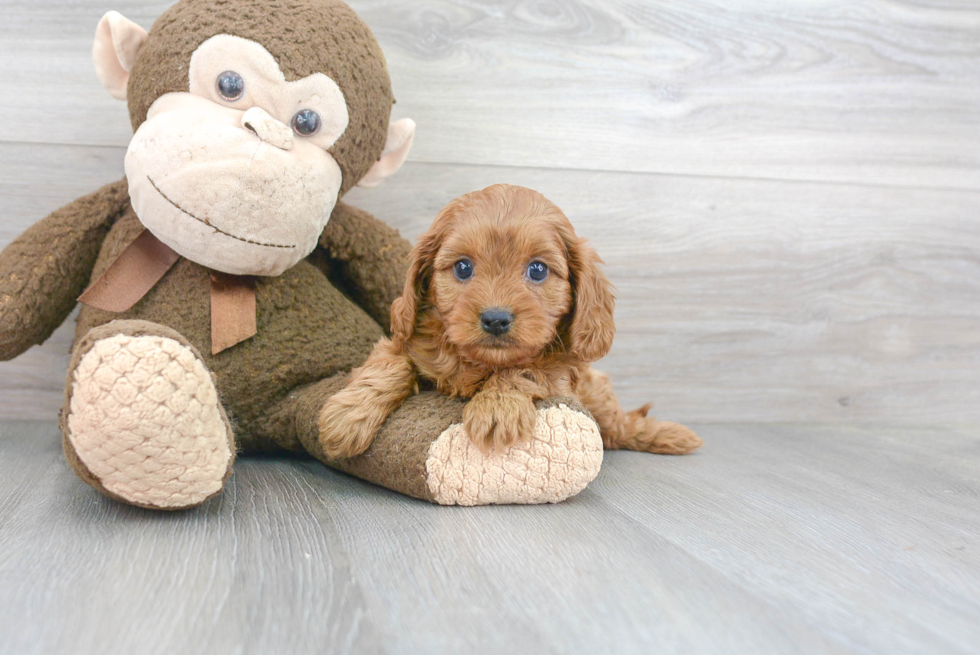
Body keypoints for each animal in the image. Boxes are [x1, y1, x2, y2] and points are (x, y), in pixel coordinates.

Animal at [318, 184, 700, 458]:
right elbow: (390, 365)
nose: (496, 319)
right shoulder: (400, 338)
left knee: (620, 426)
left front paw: (496, 408)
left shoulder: (562, 372)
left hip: (598, 396)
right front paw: (348, 416)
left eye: (537, 270)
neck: (480, 363)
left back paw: (669, 435)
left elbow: (526, 368)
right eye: (463, 267)